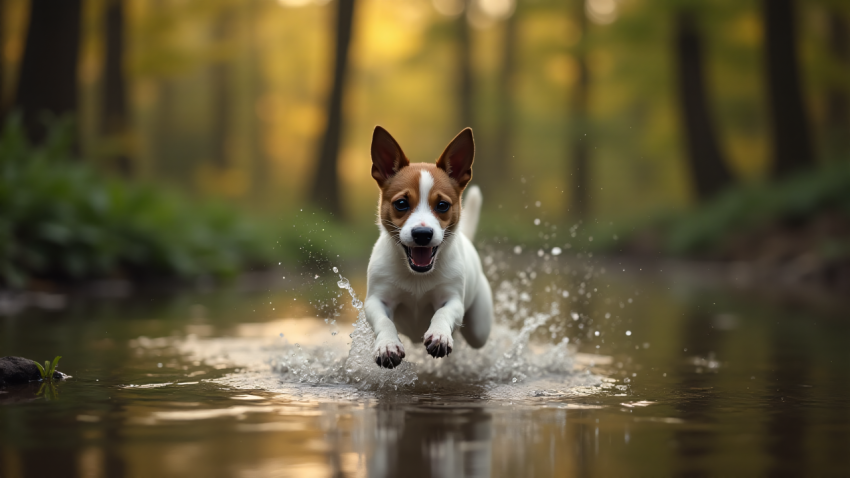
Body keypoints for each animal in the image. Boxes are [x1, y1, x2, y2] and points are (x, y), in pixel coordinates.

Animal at [362, 125, 490, 368]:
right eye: (401, 204)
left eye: (442, 205)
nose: (422, 234)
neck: (417, 277)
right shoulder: (376, 300)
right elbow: (384, 321)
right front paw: (387, 345)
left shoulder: (453, 299)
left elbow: (443, 313)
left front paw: (440, 335)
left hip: (480, 329)